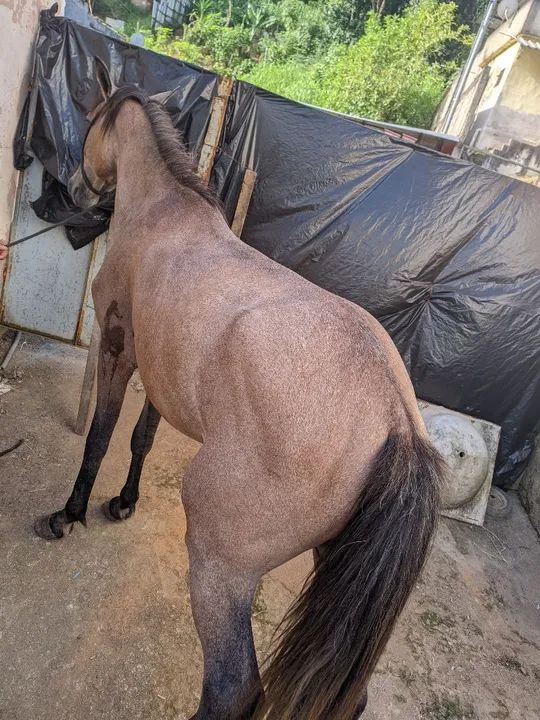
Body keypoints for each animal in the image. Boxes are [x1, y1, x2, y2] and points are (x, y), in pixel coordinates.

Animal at [35, 62, 444, 720]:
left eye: (91, 118)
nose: (76, 185)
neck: (166, 214)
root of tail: (397, 422)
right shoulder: (164, 379)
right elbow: (142, 439)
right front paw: (123, 502)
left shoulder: (122, 354)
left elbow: (99, 436)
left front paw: (69, 514)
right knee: (348, 698)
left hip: (220, 568)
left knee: (232, 688)